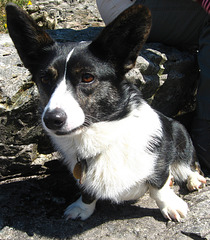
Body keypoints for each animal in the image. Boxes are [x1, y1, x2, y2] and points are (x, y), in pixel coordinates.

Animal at [5, 2, 206, 222]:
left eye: (87, 77)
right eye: (45, 79)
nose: (52, 119)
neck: (101, 137)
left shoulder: (159, 161)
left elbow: (158, 186)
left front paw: (170, 205)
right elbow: (87, 192)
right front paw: (82, 208)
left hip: (181, 134)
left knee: (189, 163)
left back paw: (194, 179)